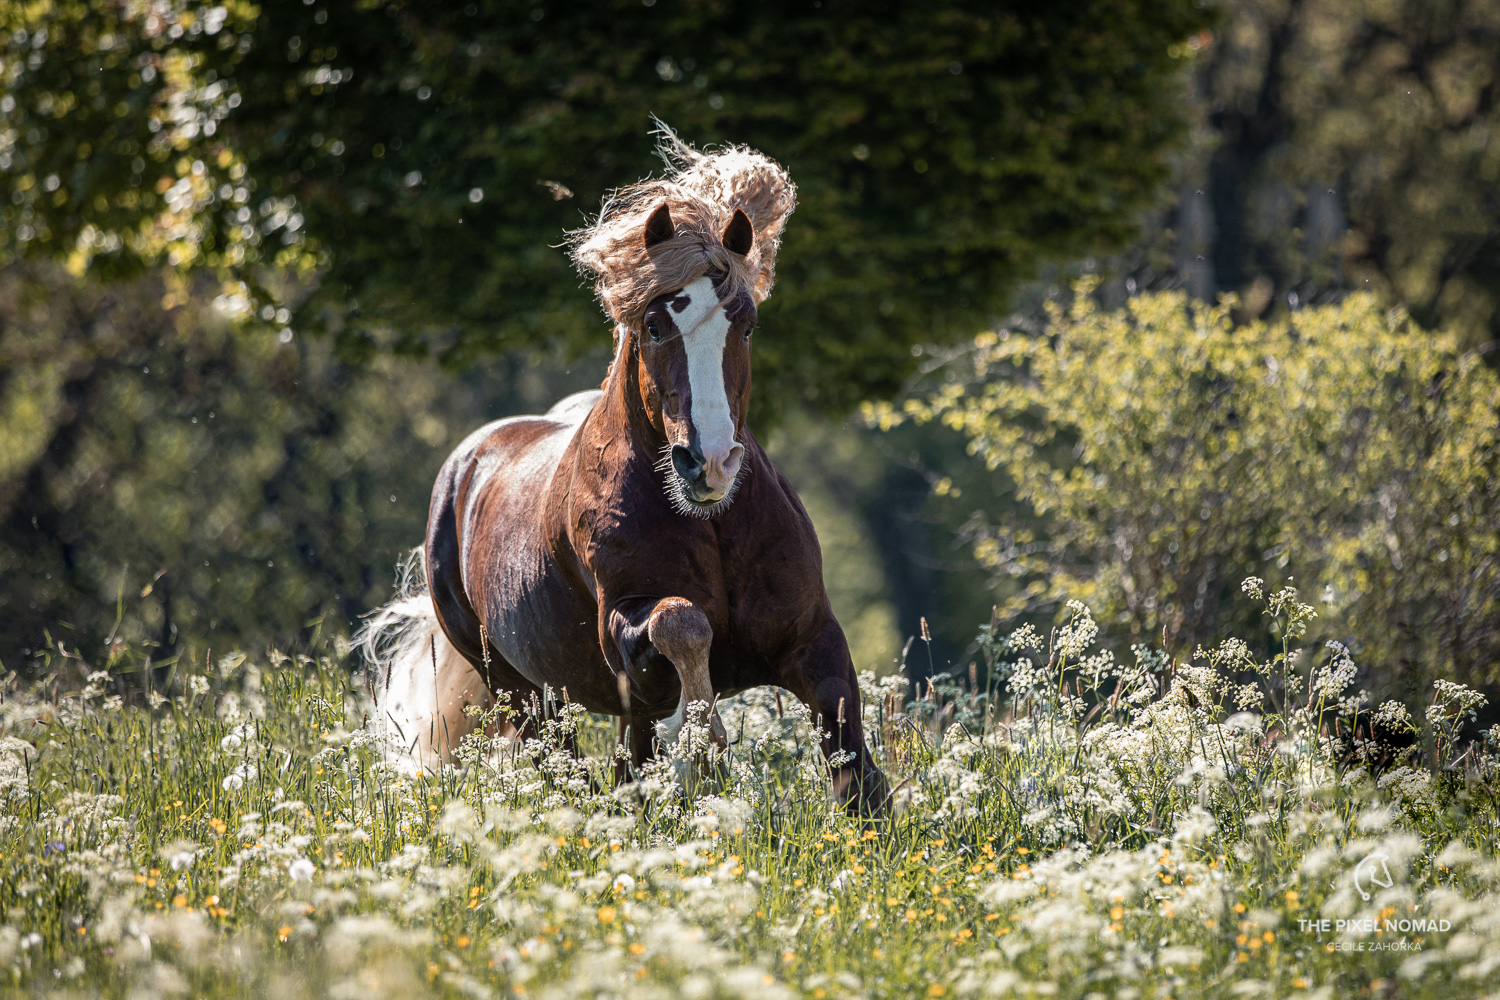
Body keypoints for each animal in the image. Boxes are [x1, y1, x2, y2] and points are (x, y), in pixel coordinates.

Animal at [361, 127, 888, 815]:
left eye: (746, 324)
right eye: (657, 324)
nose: (709, 464)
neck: (711, 524)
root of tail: (468, 464)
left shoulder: (813, 639)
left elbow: (855, 765)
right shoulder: (628, 631)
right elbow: (680, 623)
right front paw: (705, 749)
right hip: (519, 687)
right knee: (567, 762)